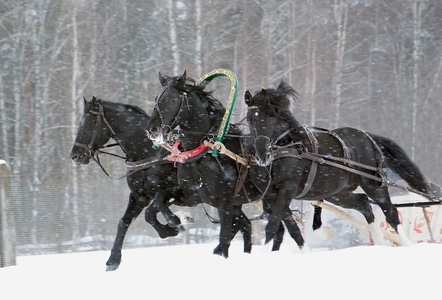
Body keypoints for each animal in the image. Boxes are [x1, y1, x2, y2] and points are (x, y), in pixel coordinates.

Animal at [71, 98, 254, 270]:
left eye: (89, 123)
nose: (75, 155)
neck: (150, 154)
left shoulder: (177, 191)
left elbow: (152, 212)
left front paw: (174, 225)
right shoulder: (139, 195)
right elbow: (124, 222)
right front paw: (113, 260)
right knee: (244, 224)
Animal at [147, 71, 306, 256]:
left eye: (172, 100)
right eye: (157, 98)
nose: (152, 130)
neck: (202, 153)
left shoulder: (225, 202)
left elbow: (224, 238)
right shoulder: (191, 195)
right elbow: (157, 202)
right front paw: (172, 224)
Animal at [245, 81, 432, 245]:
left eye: (270, 117)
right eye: (249, 119)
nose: (262, 153)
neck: (285, 150)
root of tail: (368, 137)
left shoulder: (286, 190)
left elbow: (273, 226)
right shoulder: (270, 195)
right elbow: (288, 227)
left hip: (373, 184)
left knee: (391, 213)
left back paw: (405, 243)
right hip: (336, 194)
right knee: (363, 204)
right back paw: (379, 242)